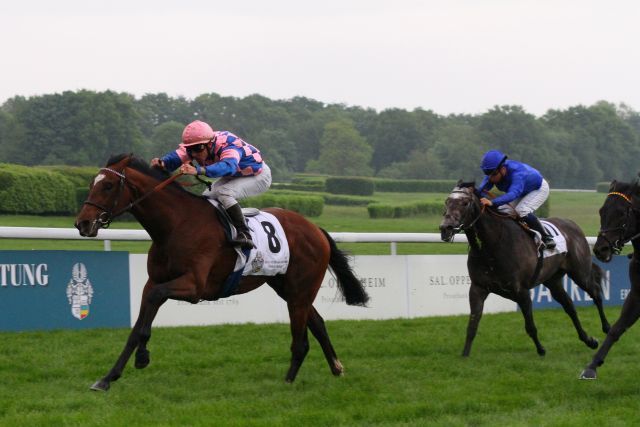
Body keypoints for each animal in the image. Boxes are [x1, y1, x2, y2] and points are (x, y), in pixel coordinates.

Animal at [74, 155, 370, 392]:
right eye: (91, 184)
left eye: (108, 186)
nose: (82, 223)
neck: (176, 225)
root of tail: (315, 229)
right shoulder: (154, 281)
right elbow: (138, 326)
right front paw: (109, 377)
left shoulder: (193, 286)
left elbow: (155, 301)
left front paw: (142, 357)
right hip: (286, 287)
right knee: (317, 323)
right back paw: (336, 367)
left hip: (300, 289)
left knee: (301, 340)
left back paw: (288, 381)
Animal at [440, 183, 608, 358]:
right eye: (447, 201)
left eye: (465, 203)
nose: (445, 228)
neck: (492, 246)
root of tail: (573, 225)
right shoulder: (478, 288)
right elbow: (472, 325)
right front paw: (465, 355)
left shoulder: (522, 292)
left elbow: (530, 327)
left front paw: (541, 350)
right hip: (553, 280)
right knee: (569, 306)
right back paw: (589, 340)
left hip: (580, 273)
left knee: (596, 293)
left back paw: (607, 328)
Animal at [580, 179, 640, 380]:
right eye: (601, 211)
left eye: (621, 213)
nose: (600, 250)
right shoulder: (636, 294)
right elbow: (616, 328)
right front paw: (591, 366)